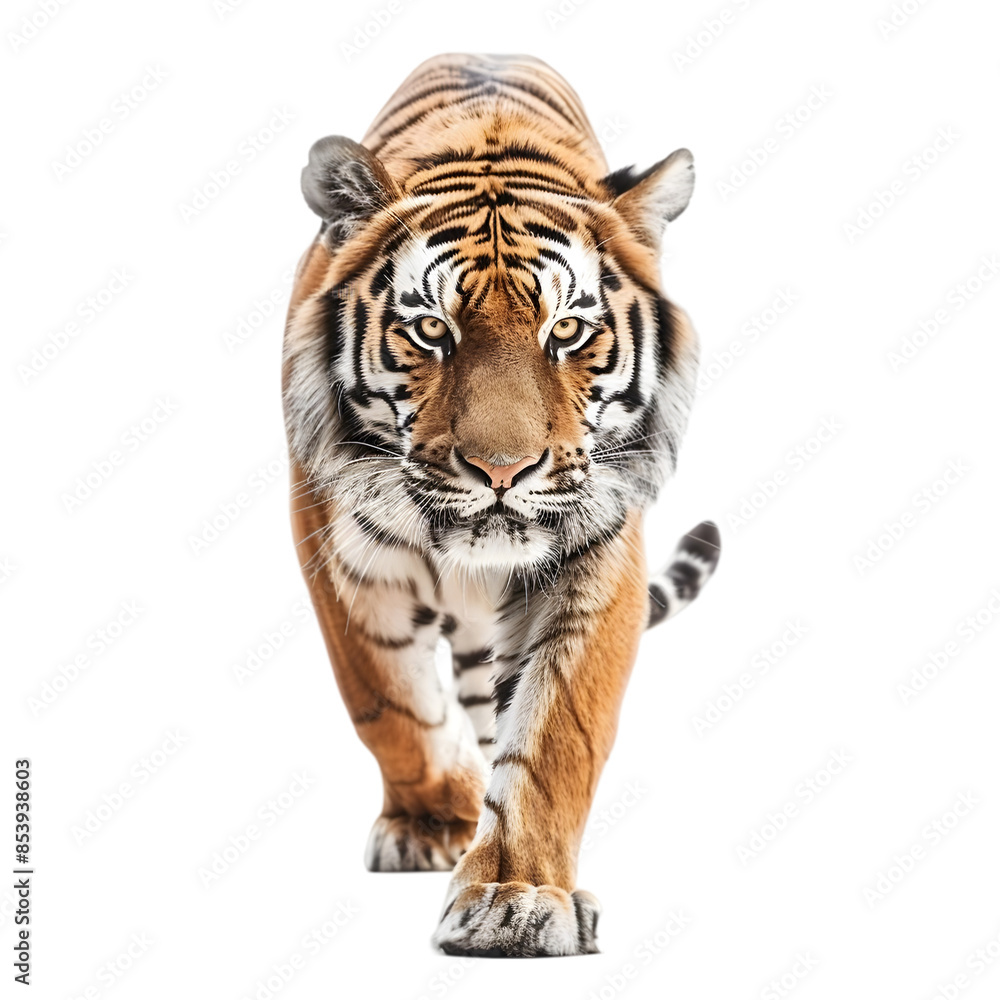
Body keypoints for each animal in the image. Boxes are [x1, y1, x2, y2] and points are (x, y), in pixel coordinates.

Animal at [282, 52, 720, 957]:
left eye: (567, 332)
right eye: (430, 331)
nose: (502, 469)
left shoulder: (596, 553)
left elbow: (554, 736)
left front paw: (515, 896)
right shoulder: (337, 553)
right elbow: (389, 703)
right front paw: (431, 822)